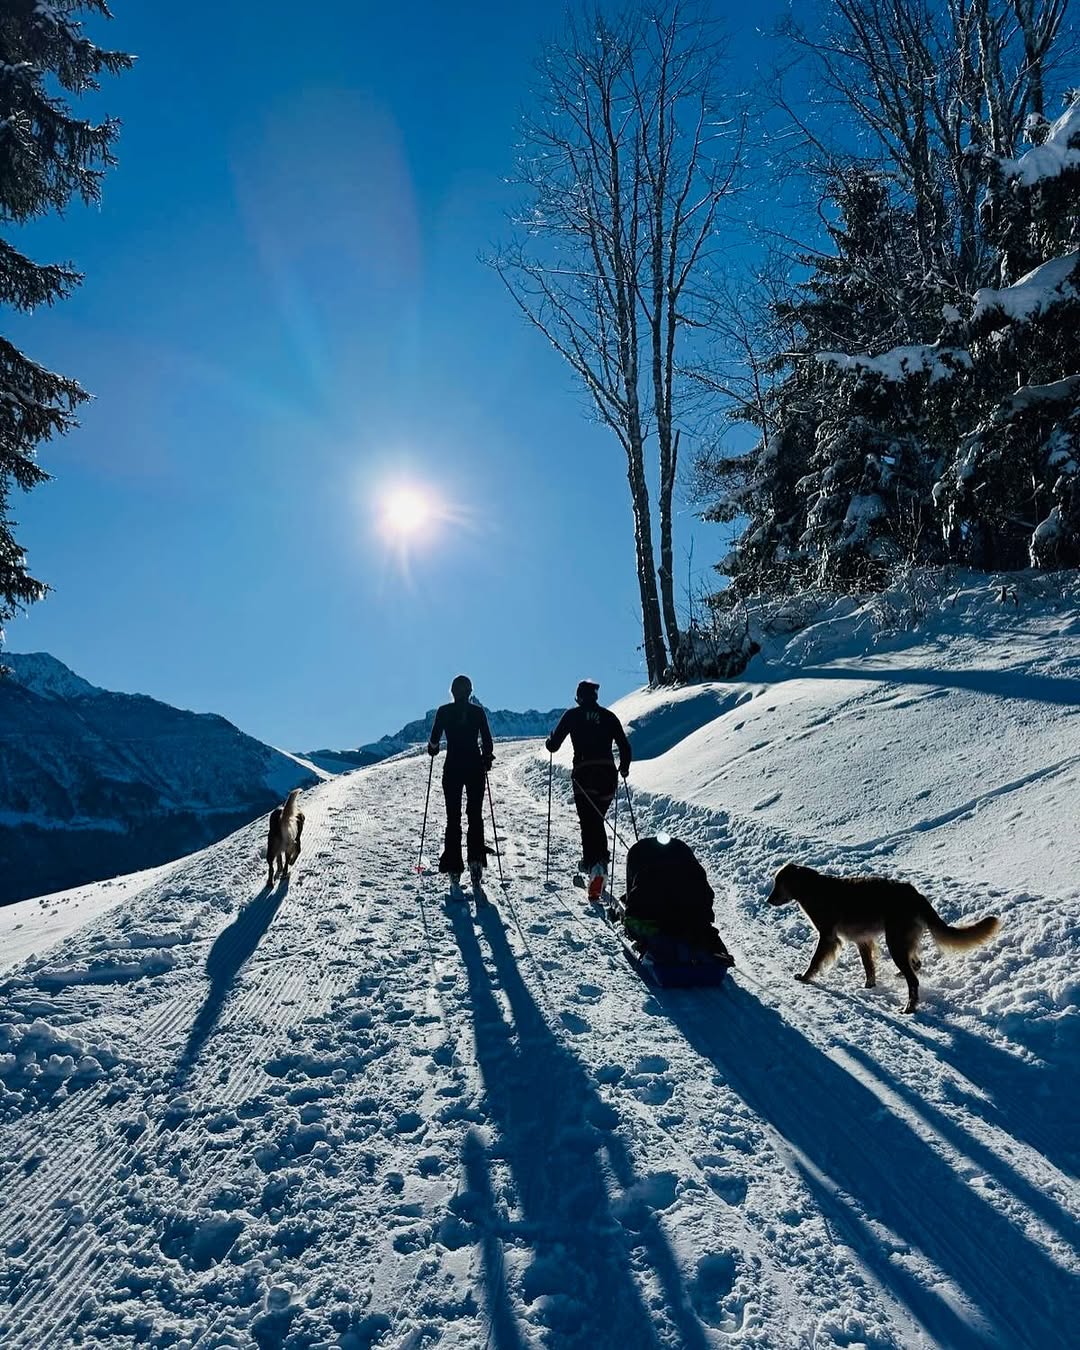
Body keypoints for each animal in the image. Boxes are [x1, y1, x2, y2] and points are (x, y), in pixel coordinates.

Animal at [761, 864, 999, 1015]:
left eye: (778, 883)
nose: (768, 900)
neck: (811, 888)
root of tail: (915, 894)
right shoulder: (862, 940)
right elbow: (869, 966)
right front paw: (869, 985)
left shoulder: (828, 936)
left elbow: (814, 960)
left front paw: (805, 977)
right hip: (901, 941)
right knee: (916, 964)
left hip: (895, 942)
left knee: (914, 980)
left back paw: (909, 1008)